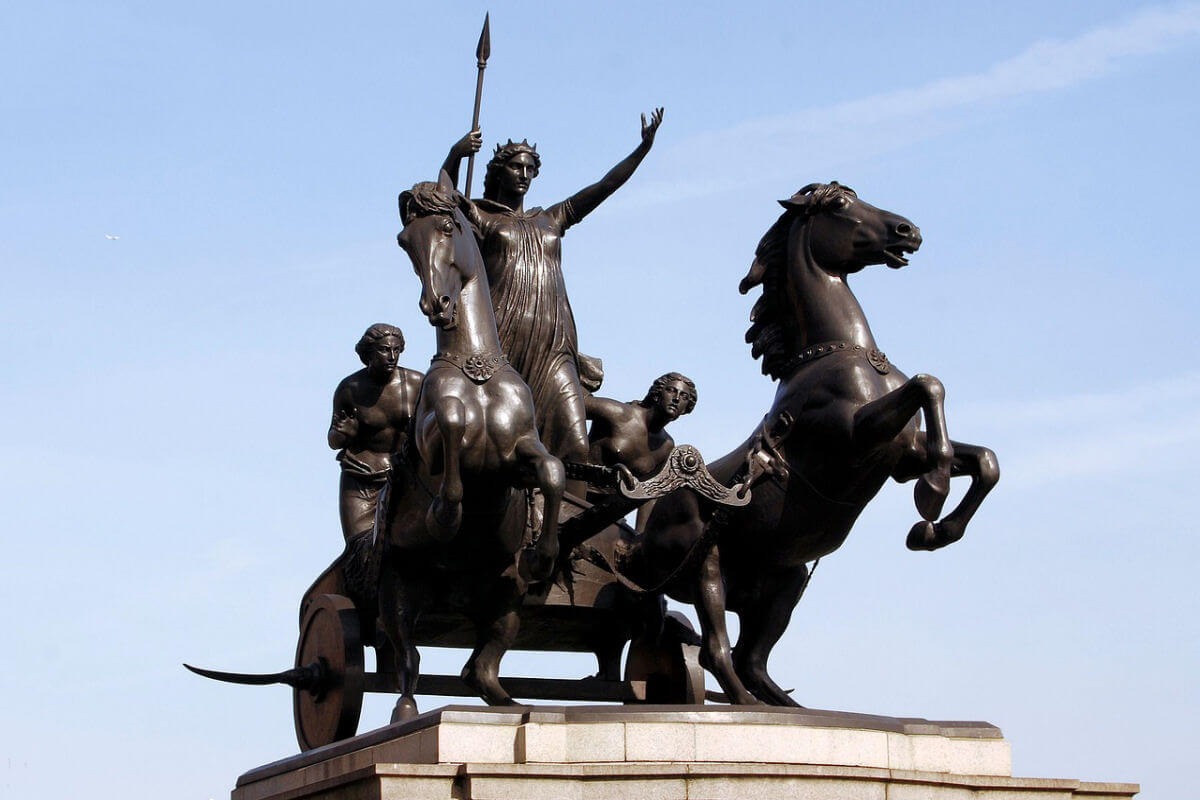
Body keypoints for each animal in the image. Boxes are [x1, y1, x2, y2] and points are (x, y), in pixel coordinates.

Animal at [633, 183, 998, 705]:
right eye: (840, 205)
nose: (910, 230)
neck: (835, 354)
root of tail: (641, 538)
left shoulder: (901, 455)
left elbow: (985, 459)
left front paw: (933, 531)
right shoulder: (855, 436)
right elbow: (930, 386)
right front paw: (932, 494)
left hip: (784, 581)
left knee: (752, 658)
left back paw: (790, 707)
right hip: (706, 569)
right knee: (715, 652)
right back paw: (748, 708)